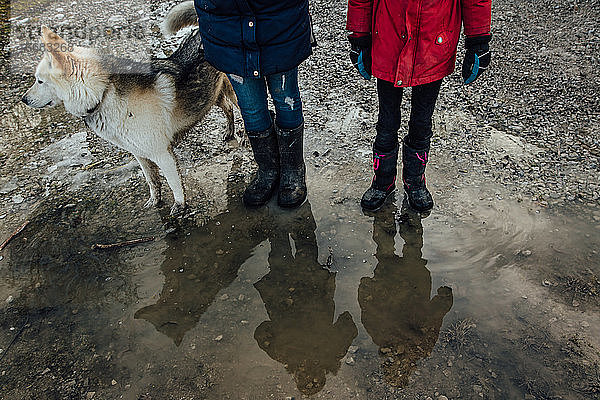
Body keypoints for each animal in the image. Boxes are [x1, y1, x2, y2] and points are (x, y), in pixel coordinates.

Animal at [23, 3, 239, 214]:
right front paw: (155, 202)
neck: (102, 92)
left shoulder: (162, 153)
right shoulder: (140, 154)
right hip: (213, 94)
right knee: (227, 107)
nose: (23, 99)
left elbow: (173, 183)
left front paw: (180, 206)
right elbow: (152, 181)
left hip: (234, 92)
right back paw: (229, 131)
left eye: (39, 81)